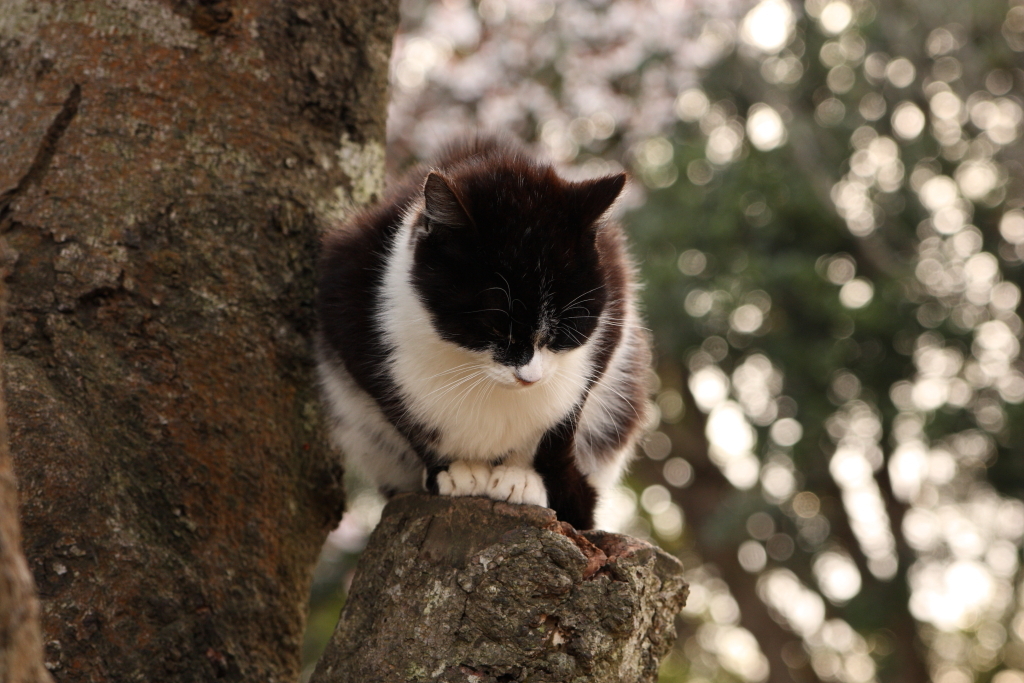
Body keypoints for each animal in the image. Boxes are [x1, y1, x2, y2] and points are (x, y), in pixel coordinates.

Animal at [313, 135, 647, 528]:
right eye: (495, 323)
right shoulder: (346, 298)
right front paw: (454, 469)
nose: (529, 377)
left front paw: (526, 477)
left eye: (567, 324)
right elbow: (397, 409)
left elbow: (566, 418)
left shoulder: (614, 304)